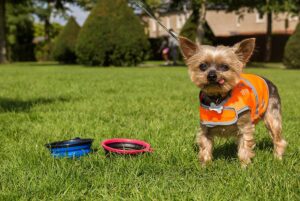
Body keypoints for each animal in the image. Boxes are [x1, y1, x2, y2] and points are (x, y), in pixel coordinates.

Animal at [178, 36, 286, 166]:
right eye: (202, 66)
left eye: (225, 66)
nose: (212, 75)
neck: (218, 99)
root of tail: (268, 81)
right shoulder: (205, 129)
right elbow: (205, 147)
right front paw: (204, 165)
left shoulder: (245, 126)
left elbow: (245, 147)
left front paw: (245, 166)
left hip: (272, 116)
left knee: (278, 138)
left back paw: (278, 158)